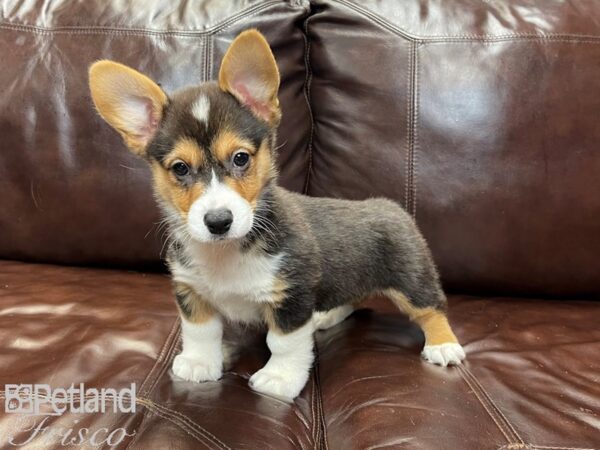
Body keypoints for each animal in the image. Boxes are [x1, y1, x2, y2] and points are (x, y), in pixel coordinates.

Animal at [88, 29, 464, 400]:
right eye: (180, 168)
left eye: (241, 158)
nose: (218, 222)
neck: (226, 253)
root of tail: (390, 206)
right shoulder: (192, 292)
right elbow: (200, 332)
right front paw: (199, 362)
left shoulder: (291, 297)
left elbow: (283, 343)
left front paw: (279, 379)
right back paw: (325, 316)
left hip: (411, 279)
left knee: (432, 308)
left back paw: (443, 346)